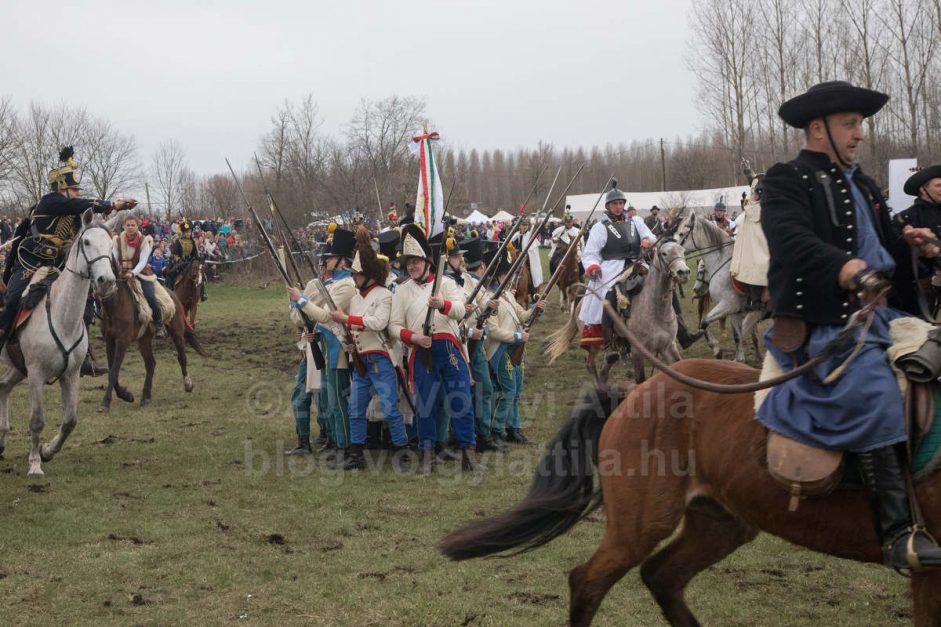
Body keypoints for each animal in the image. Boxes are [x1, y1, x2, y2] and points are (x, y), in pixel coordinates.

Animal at [0, 209, 118, 477]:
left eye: (111, 245)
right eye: (87, 242)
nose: (106, 281)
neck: (62, 317)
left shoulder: (71, 375)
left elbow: (70, 420)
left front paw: (47, 451)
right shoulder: (35, 375)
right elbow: (37, 420)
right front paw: (35, 463)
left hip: (18, 367)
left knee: (3, 387)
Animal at [97, 272, 207, 414]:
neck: (116, 304)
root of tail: (173, 295)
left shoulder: (122, 342)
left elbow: (114, 371)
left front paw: (105, 403)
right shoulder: (110, 342)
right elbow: (112, 371)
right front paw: (127, 396)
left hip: (177, 332)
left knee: (181, 357)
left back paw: (188, 384)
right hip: (144, 340)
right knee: (151, 364)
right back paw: (146, 396)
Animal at [440, 362, 941, 625]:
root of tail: (634, 393)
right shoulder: (929, 572)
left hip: (720, 521)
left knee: (662, 575)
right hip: (643, 524)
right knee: (588, 581)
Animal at [546, 239, 691, 384]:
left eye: (682, 251)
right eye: (664, 253)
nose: (683, 272)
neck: (655, 310)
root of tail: (580, 303)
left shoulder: (668, 347)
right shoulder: (637, 352)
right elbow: (641, 381)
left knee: (604, 369)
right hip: (593, 343)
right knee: (590, 364)